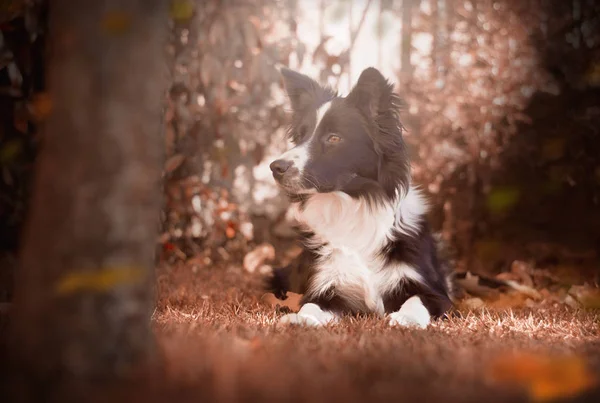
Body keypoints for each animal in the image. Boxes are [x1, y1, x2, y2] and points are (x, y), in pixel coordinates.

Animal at [270, 68, 452, 330]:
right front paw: (302, 318)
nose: (275, 167)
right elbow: (311, 306)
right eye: (301, 136)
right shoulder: (328, 285)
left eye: (334, 138)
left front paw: (405, 318)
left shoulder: (433, 291)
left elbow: (416, 301)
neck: (353, 207)